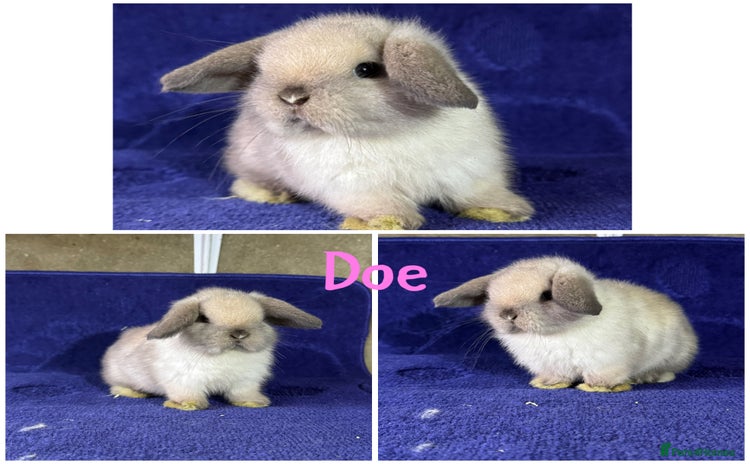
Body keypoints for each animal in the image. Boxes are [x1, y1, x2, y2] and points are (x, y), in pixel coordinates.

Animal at [101, 287, 322, 410]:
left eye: (261, 319)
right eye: (204, 318)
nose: (239, 334)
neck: (227, 355)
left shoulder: (246, 382)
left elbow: (243, 394)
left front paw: (255, 402)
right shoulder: (184, 382)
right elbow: (188, 394)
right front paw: (189, 406)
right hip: (121, 376)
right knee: (115, 387)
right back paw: (134, 393)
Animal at [159, 13, 534, 230]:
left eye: (368, 69)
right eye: (262, 72)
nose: (291, 96)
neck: (389, 134)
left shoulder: (469, 172)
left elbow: (477, 193)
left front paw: (506, 211)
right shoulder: (356, 186)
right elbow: (380, 203)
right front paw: (387, 222)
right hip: (251, 162)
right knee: (244, 182)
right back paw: (272, 194)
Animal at [433, 256, 698, 392]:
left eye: (546, 295)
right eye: (490, 296)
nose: (508, 314)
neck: (553, 334)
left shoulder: (607, 362)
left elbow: (602, 376)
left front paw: (594, 388)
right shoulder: (552, 365)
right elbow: (557, 376)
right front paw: (547, 384)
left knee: (667, 372)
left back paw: (648, 377)